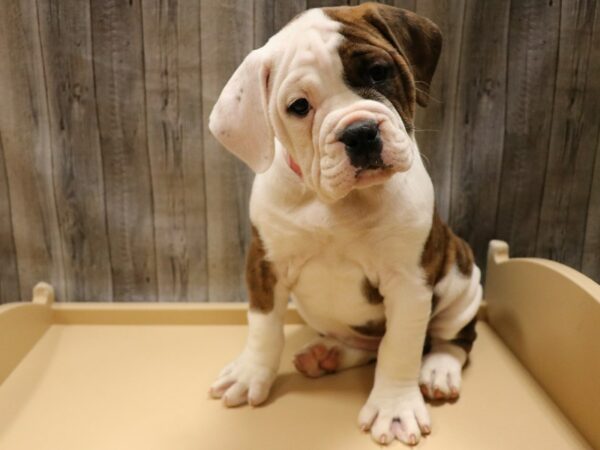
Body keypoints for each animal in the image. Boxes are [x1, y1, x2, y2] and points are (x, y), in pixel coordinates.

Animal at [209, 2, 480, 446]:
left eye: (378, 72)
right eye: (299, 106)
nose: (360, 132)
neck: (337, 202)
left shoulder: (409, 282)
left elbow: (400, 347)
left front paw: (394, 408)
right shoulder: (265, 264)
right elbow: (264, 327)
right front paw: (251, 374)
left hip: (462, 275)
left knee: (451, 337)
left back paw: (438, 368)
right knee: (368, 344)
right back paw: (328, 354)